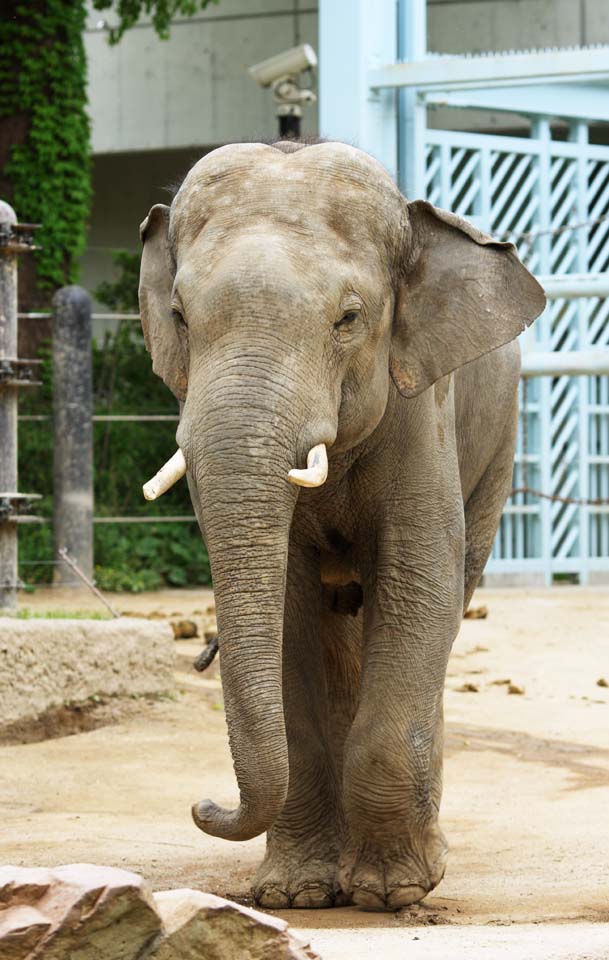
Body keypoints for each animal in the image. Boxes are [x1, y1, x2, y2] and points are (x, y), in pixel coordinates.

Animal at [139, 139, 548, 912]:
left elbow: (418, 579)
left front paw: (392, 894)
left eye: (348, 318)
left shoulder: (420, 408)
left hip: (498, 449)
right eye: (179, 316)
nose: (203, 806)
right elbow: (290, 607)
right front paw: (294, 895)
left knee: (444, 603)